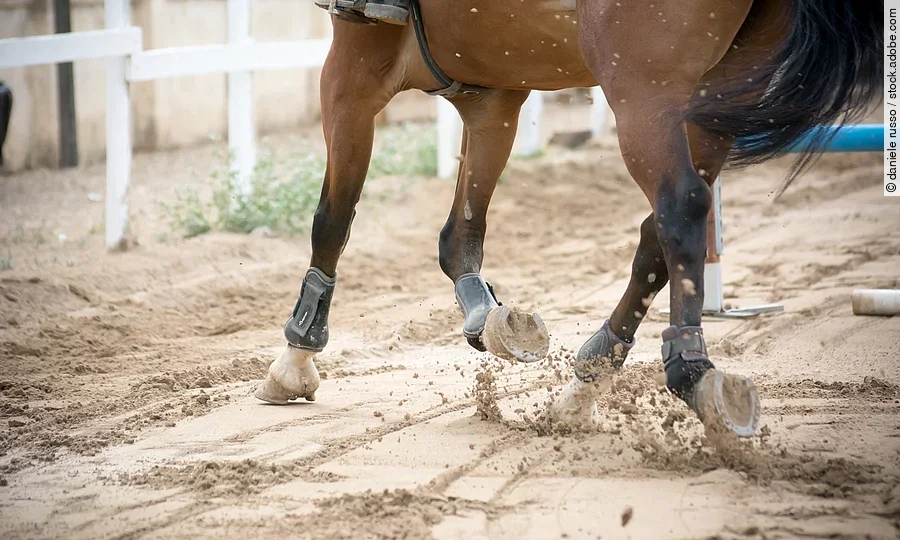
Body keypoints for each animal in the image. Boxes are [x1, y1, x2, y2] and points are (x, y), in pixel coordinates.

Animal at [253, 0, 882, 438]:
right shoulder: (495, 94)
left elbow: (333, 219)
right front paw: (490, 319)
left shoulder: (354, 66)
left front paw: (295, 357)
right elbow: (461, 234)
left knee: (680, 207)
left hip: (644, 89)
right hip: (717, 92)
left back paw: (690, 370)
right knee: (661, 229)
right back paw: (588, 379)